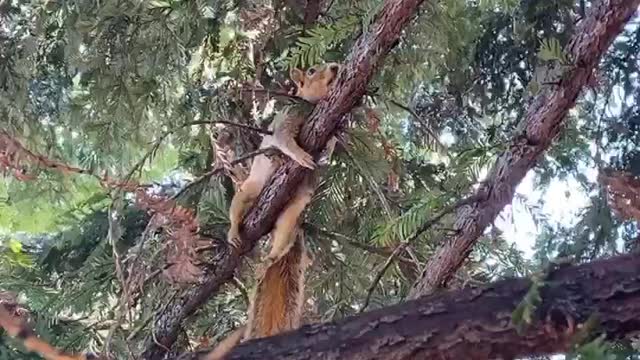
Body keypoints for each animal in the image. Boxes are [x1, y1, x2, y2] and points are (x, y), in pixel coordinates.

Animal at [208, 63, 342, 358]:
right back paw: (234, 232)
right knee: (239, 206)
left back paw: (272, 256)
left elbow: (330, 145)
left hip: (292, 212)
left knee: (282, 239)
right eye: (312, 70)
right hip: (250, 191)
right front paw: (298, 155)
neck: (311, 104)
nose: (336, 66)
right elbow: (283, 138)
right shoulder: (288, 116)